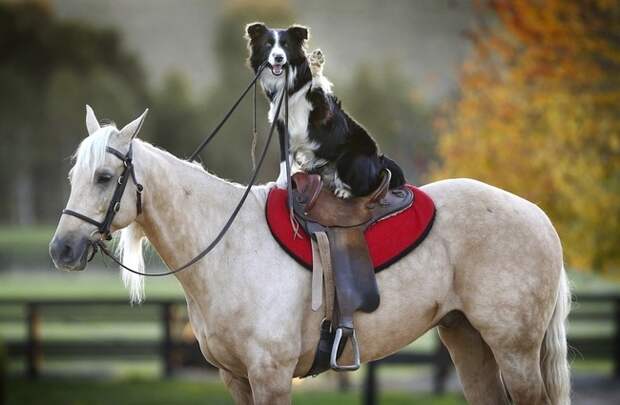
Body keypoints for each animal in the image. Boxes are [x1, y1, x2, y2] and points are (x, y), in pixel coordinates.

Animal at [48, 107, 572, 404]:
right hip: (467, 339)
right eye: (73, 175)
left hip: (515, 350)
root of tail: (539, 217)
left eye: (104, 177)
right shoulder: (236, 379)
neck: (228, 250)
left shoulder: (272, 376)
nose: (62, 249)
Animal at [247, 23, 406, 197]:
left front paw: (315, 64)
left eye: (286, 45)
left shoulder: (321, 112)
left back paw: (345, 192)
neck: (289, 84)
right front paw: (281, 185)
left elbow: (317, 83)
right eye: (268, 44)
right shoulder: (283, 126)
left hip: (350, 158)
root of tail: (378, 160)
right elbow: (285, 160)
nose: (279, 58)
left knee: (369, 187)